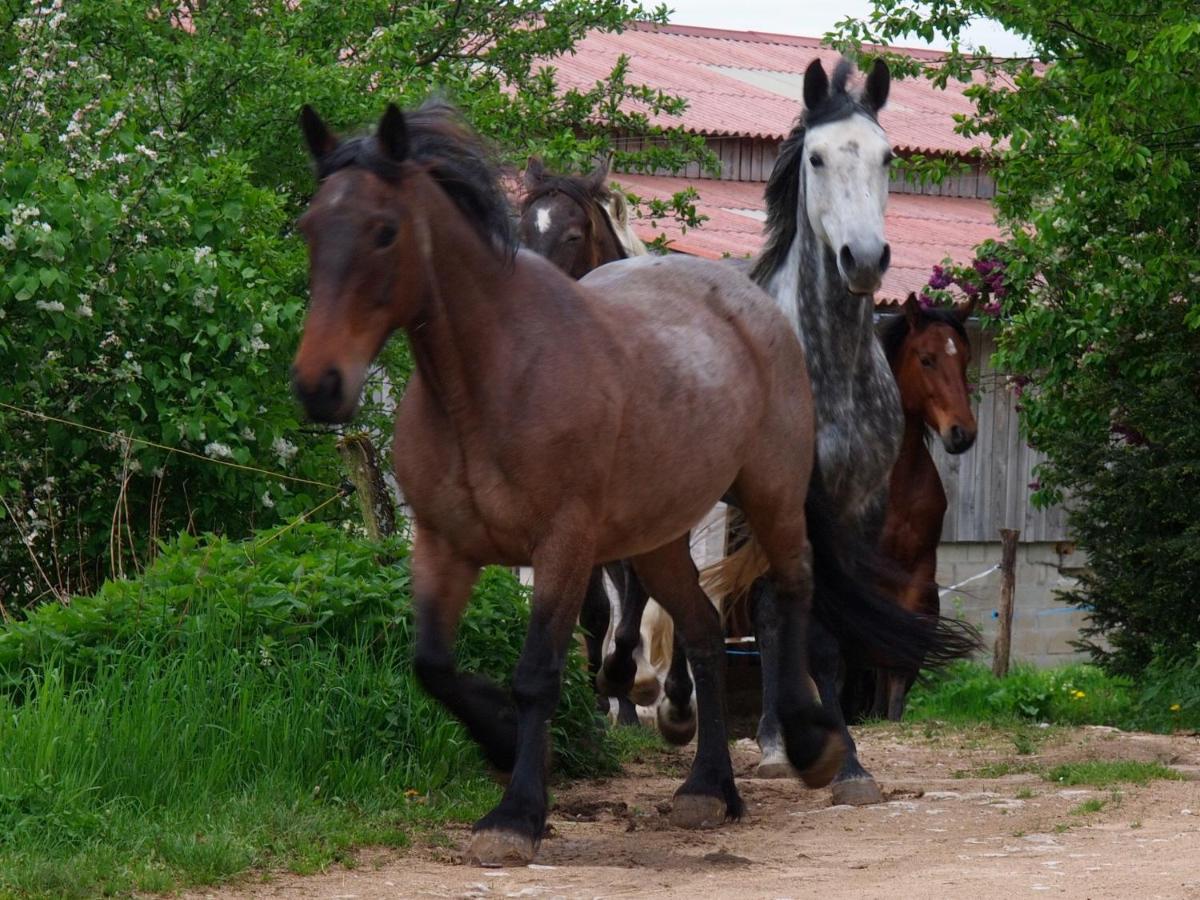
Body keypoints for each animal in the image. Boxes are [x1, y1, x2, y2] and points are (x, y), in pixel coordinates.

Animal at [291, 102, 859, 868]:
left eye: (384, 230)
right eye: (310, 227)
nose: (319, 385)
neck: (491, 382)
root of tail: (753, 303)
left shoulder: (562, 544)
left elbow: (538, 674)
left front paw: (517, 814)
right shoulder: (443, 544)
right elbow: (432, 664)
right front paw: (501, 740)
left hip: (768, 494)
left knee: (793, 589)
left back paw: (810, 745)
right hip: (658, 537)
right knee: (704, 632)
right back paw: (707, 788)